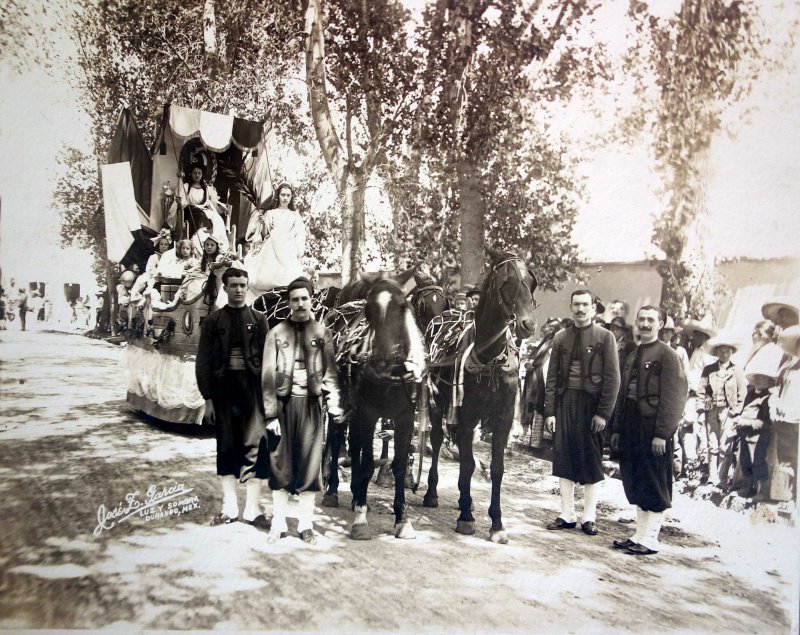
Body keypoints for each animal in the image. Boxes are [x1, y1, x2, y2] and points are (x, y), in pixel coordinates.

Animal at [332, 266, 432, 540]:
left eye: (403, 306)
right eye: (369, 309)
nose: (383, 360)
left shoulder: (405, 417)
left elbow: (399, 465)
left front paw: (402, 519)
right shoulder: (367, 413)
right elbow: (367, 463)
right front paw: (361, 519)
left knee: (355, 446)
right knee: (340, 444)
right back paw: (335, 492)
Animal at [424, 246, 536, 544]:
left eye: (531, 281)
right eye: (507, 282)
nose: (528, 325)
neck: (490, 359)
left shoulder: (504, 420)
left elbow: (496, 469)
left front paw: (496, 523)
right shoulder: (466, 417)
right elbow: (467, 466)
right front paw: (465, 517)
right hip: (437, 405)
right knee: (436, 440)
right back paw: (432, 492)